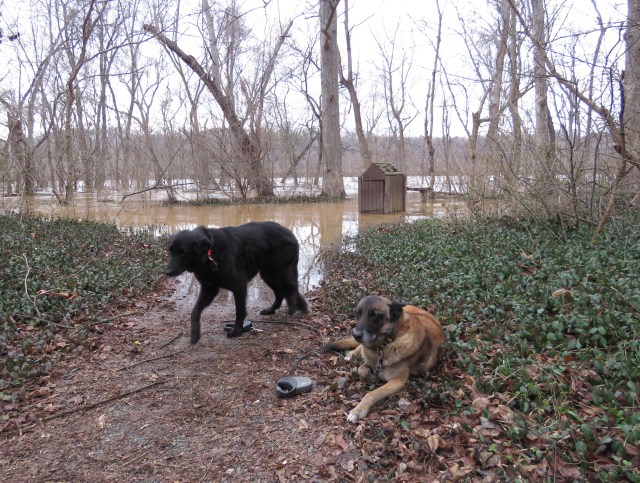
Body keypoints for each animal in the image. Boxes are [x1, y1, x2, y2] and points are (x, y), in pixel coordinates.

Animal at [165, 221, 308, 342]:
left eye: (183, 252)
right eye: (170, 251)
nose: (167, 272)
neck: (210, 253)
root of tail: (290, 233)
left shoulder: (239, 286)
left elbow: (240, 311)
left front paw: (237, 330)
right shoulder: (209, 288)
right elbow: (195, 312)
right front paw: (195, 334)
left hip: (279, 272)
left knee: (291, 287)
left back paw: (294, 306)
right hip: (268, 274)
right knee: (281, 292)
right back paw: (275, 309)